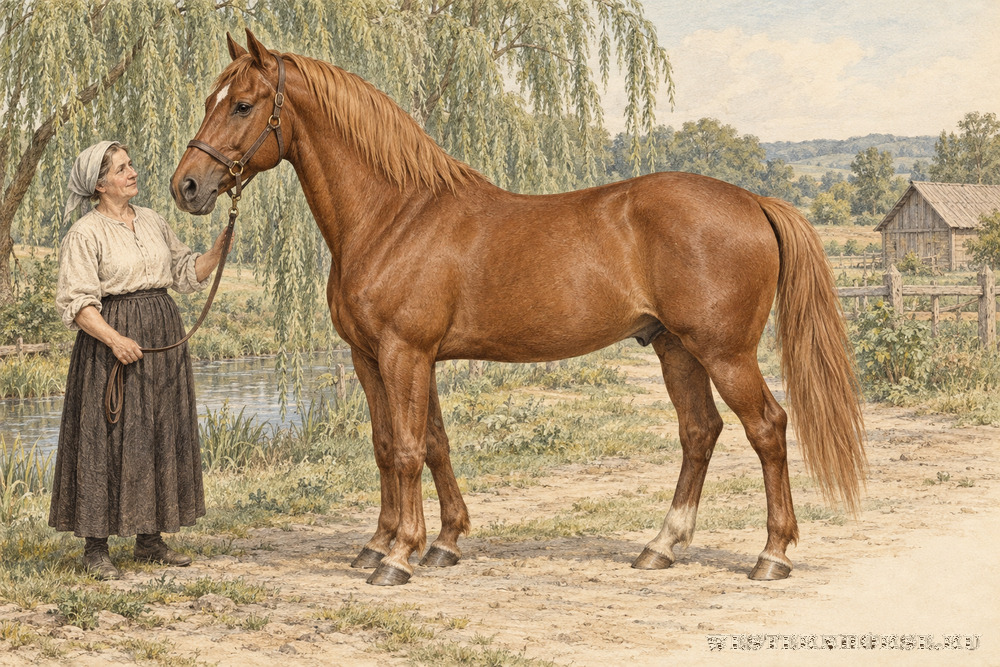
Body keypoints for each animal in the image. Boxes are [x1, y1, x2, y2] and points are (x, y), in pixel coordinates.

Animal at [171, 29, 866, 586]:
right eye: (210, 100)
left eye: (241, 104)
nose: (187, 186)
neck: (395, 215)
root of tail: (753, 201)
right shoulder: (379, 358)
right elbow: (408, 444)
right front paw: (422, 543)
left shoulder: (404, 352)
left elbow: (405, 449)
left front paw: (398, 557)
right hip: (676, 349)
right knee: (699, 433)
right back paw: (660, 547)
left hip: (725, 352)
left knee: (767, 428)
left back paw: (772, 555)